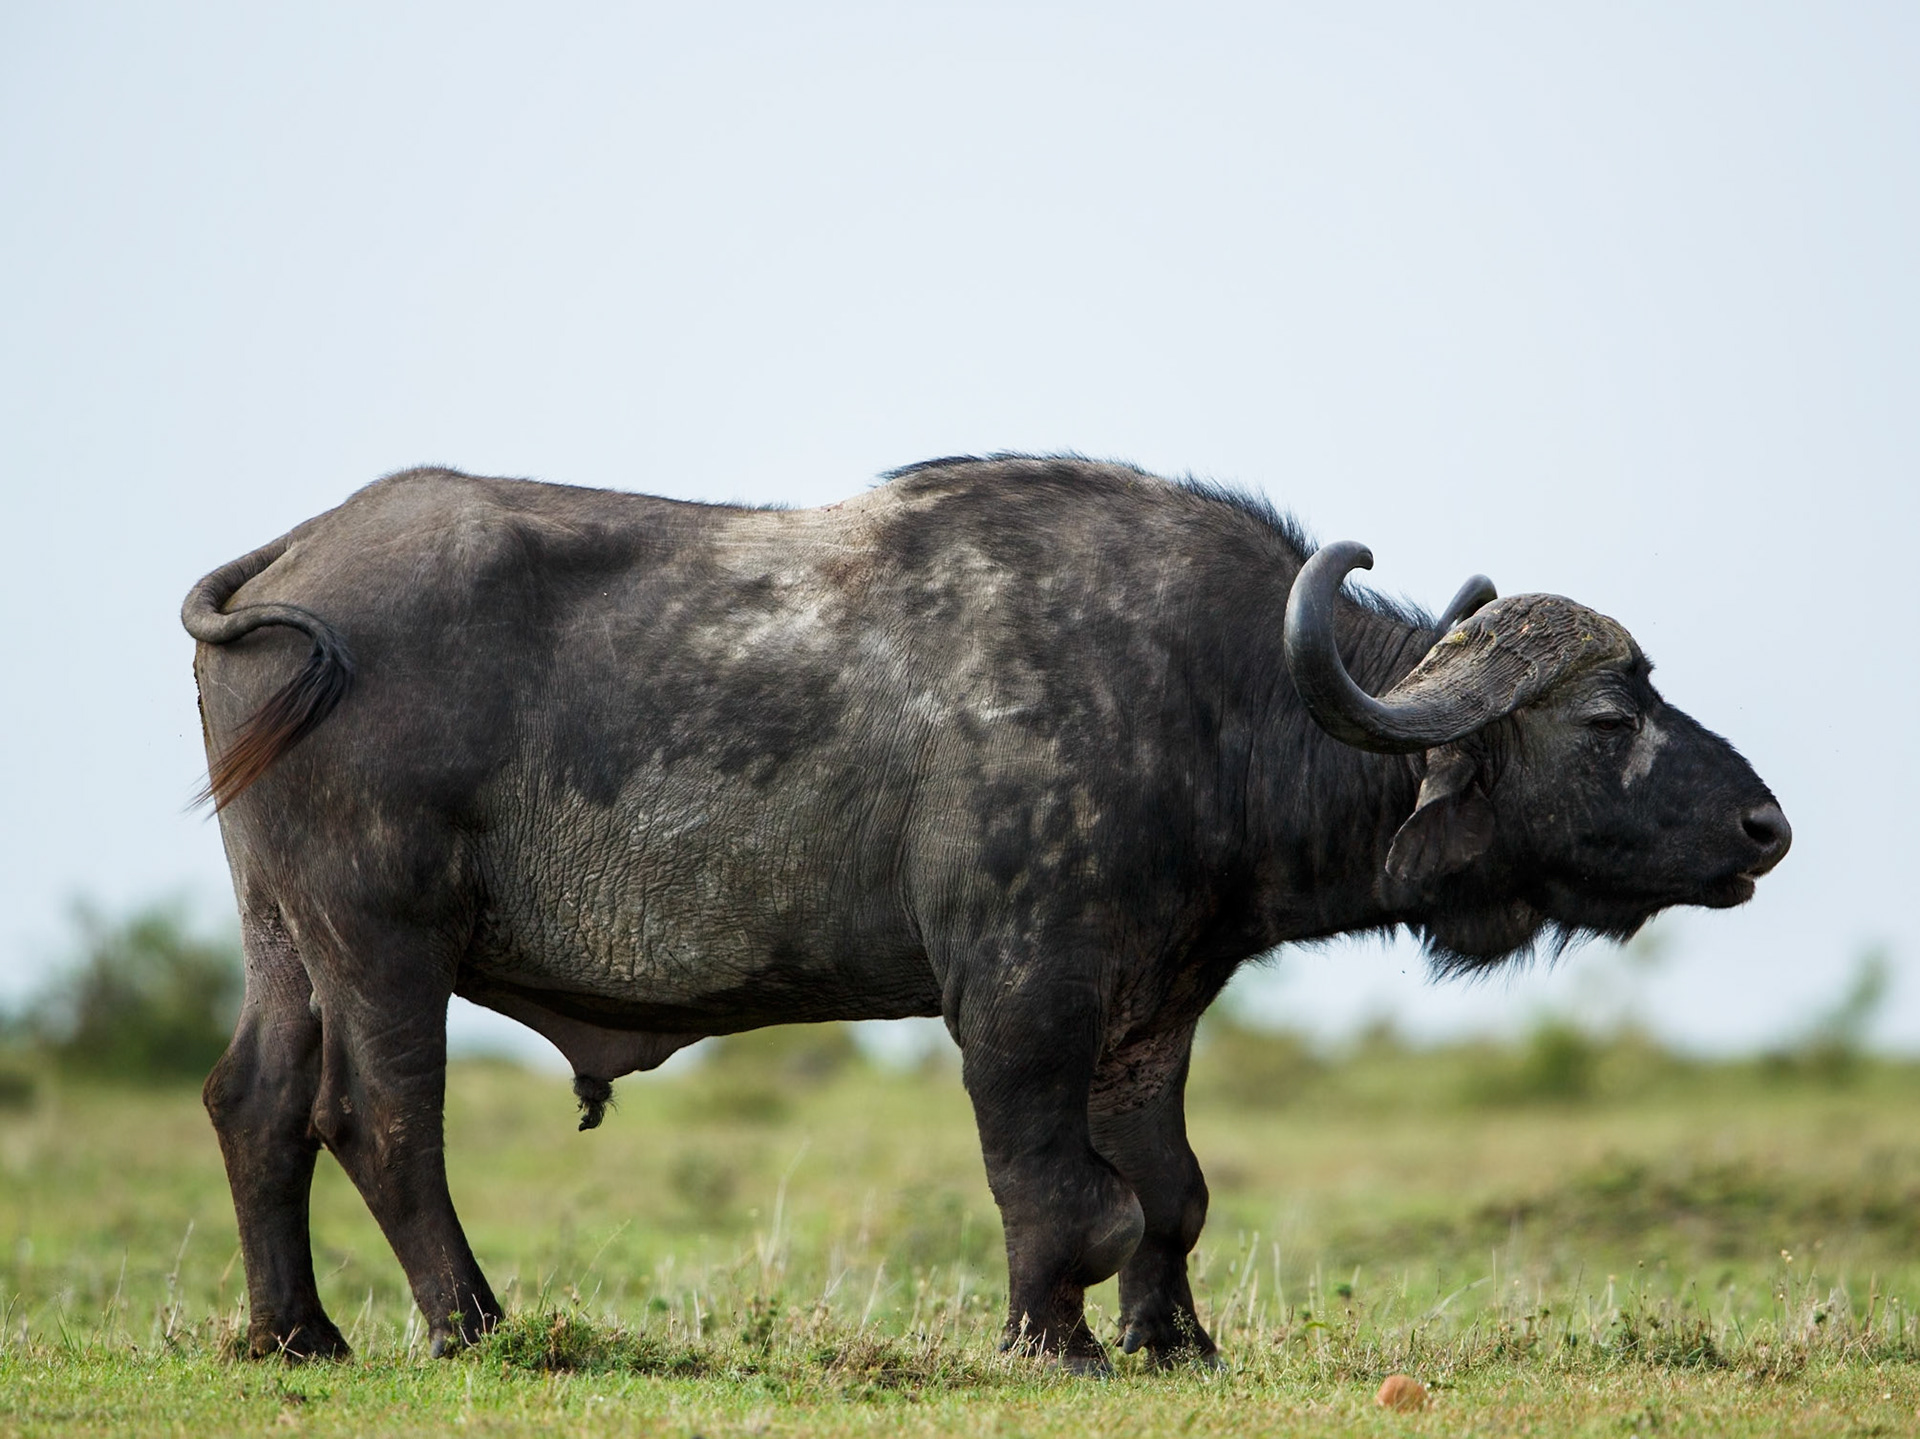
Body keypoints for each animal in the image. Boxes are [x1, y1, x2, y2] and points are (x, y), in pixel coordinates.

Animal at [183, 455, 1789, 1370]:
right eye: (1609, 715)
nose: (1766, 825)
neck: (1216, 699)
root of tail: (296, 558)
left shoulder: (1154, 1007)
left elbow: (1170, 1187)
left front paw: (1171, 1338)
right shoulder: (1018, 996)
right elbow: (1062, 1186)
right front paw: (1051, 1338)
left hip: (283, 934)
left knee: (254, 1103)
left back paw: (296, 1335)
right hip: (384, 935)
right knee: (381, 1119)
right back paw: (473, 1324)